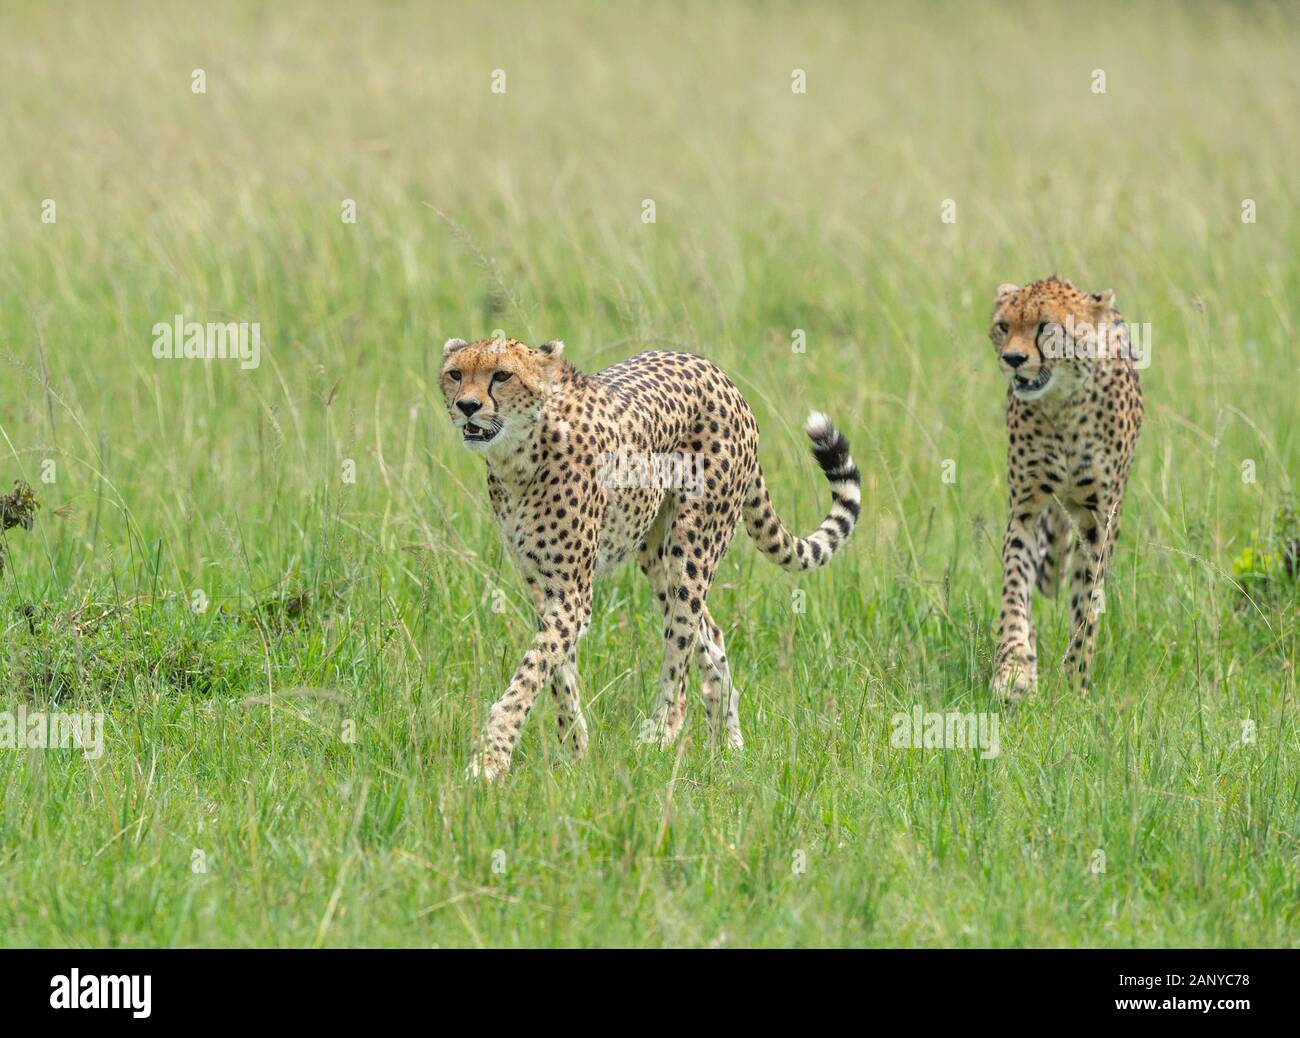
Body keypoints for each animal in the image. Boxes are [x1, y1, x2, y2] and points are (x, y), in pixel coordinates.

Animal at [439, 338, 863, 780]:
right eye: (455, 374)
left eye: (502, 375)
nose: (467, 405)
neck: (519, 456)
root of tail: (716, 372)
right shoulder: (545, 588)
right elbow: (556, 671)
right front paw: (576, 752)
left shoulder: (573, 596)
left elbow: (529, 674)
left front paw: (489, 760)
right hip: (656, 554)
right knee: (710, 633)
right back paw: (728, 746)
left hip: (692, 547)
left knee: (681, 652)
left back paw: (660, 734)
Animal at [987, 275, 1144, 702]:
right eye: (1003, 326)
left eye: (1046, 328)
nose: (1013, 359)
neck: (1063, 404)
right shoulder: (1025, 509)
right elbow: (1015, 589)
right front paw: (1014, 669)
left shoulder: (1099, 519)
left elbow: (1088, 603)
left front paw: (1074, 681)